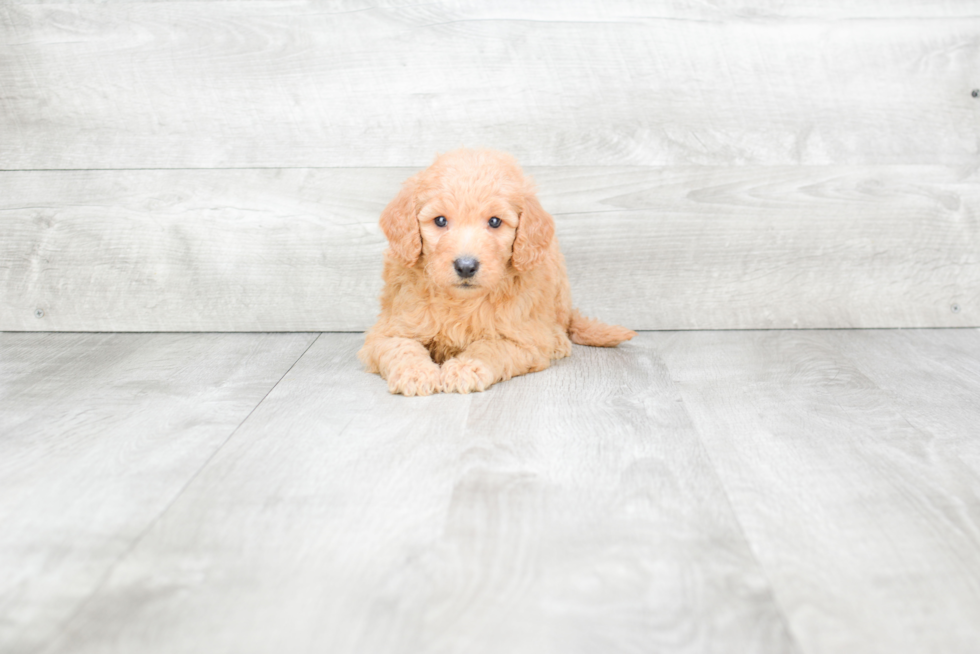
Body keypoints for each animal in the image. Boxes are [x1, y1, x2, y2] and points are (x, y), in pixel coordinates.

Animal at [360, 149, 636, 394]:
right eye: (440, 221)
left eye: (494, 221)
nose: (466, 266)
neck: (461, 302)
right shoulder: (388, 329)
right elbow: (401, 347)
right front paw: (415, 373)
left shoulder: (523, 338)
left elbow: (490, 348)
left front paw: (466, 368)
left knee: (561, 321)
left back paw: (557, 339)